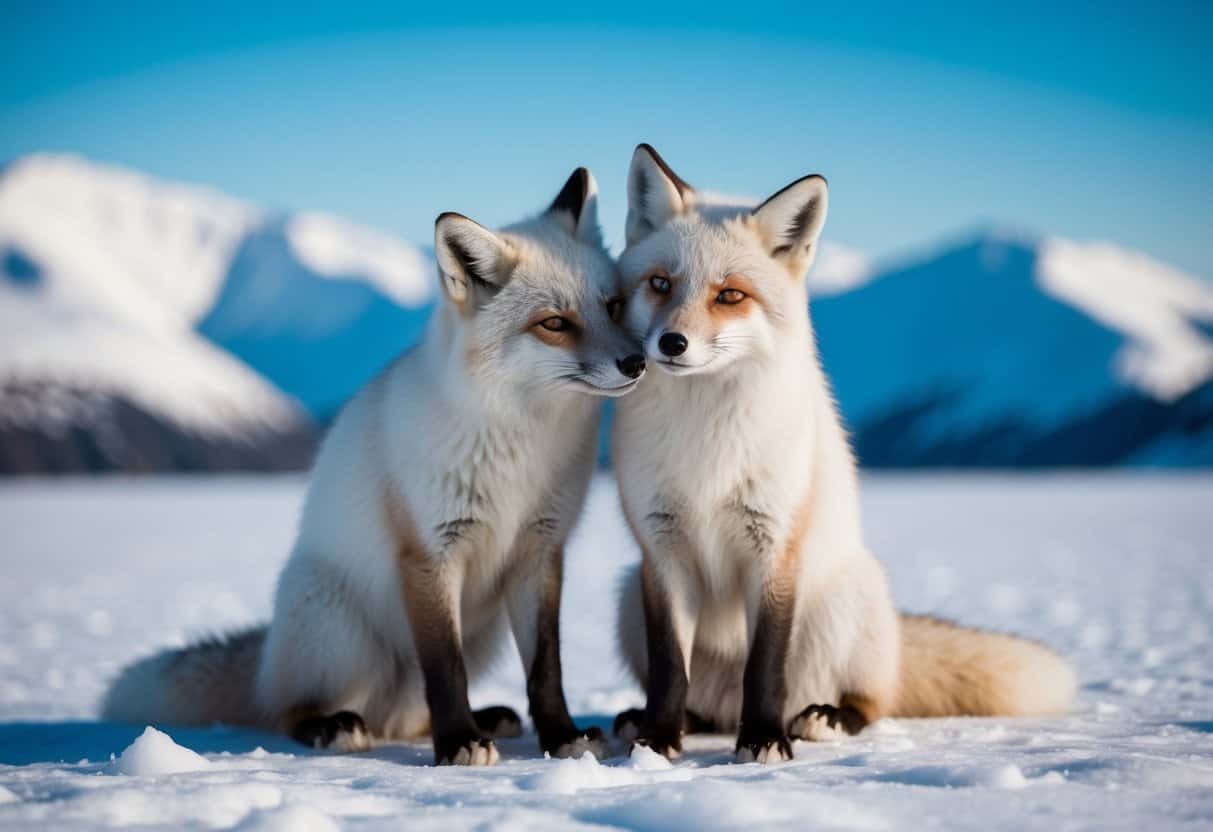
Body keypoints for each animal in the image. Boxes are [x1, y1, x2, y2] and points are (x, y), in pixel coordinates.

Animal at [102, 167, 647, 766]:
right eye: (554, 323)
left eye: (613, 306)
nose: (637, 362)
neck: (519, 446)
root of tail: (266, 657)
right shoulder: (428, 553)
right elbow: (445, 670)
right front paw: (457, 743)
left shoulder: (540, 551)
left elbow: (546, 669)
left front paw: (561, 737)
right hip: (340, 631)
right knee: (290, 710)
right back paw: (333, 725)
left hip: (483, 632)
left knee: (408, 714)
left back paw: (487, 718)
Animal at [609, 144, 1077, 763]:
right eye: (661, 283)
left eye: (730, 294)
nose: (672, 344)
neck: (704, 441)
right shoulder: (661, 554)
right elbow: (668, 670)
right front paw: (660, 740)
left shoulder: (776, 546)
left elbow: (766, 665)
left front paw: (763, 740)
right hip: (626, 596)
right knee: (698, 697)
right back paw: (669, 719)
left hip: (843, 603)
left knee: (867, 703)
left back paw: (823, 718)